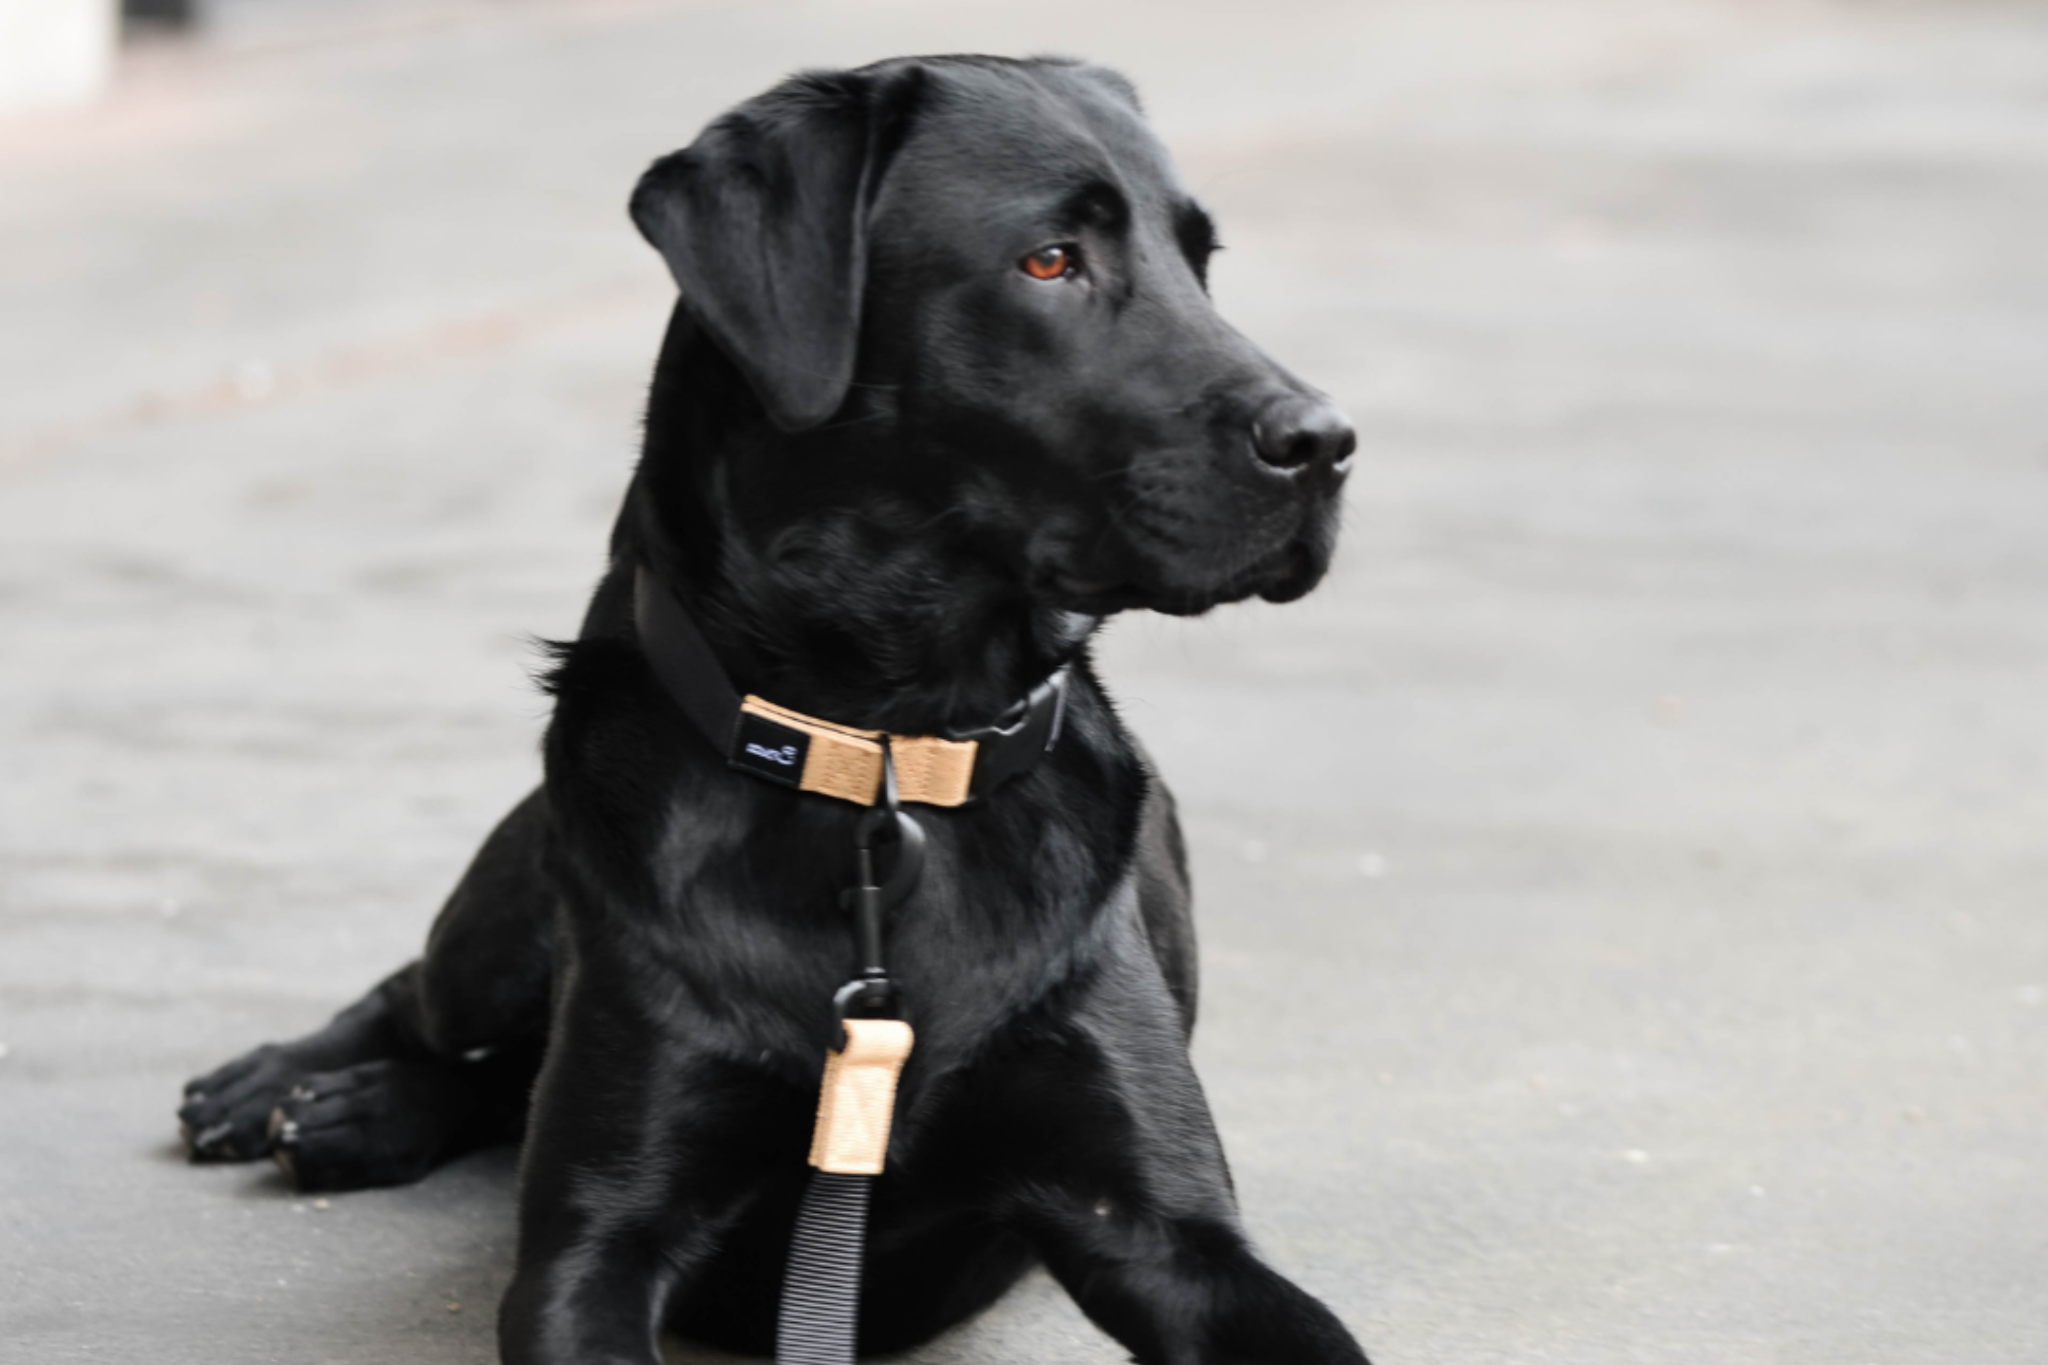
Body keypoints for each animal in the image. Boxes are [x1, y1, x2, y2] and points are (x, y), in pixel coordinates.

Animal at [176, 56, 1359, 1365]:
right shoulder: (591, 1249)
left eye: (1198, 261)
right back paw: (293, 1085)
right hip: (507, 921)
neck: (886, 763)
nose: (1326, 442)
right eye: (1050, 261)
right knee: (425, 1000)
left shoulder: (1166, 1234)